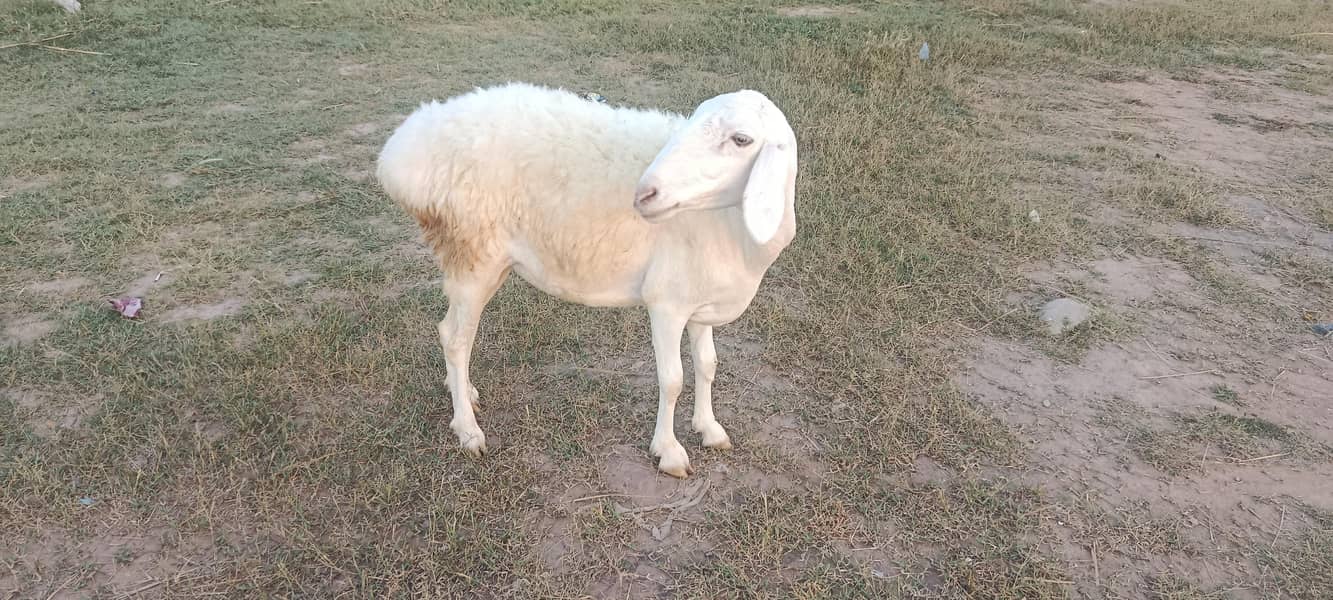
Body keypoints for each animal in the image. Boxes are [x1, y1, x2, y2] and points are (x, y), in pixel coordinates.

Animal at [376, 82, 798, 477]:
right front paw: (669, 451)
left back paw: (463, 389)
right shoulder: (666, 301)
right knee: (454, 338)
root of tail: (401, 152)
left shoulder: (697, 298)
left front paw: (709, 428)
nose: (645, 193)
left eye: (741, 139)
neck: (731, 225)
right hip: (473, 255)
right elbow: (672, 379)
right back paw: (467, 428)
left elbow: (707, 364)